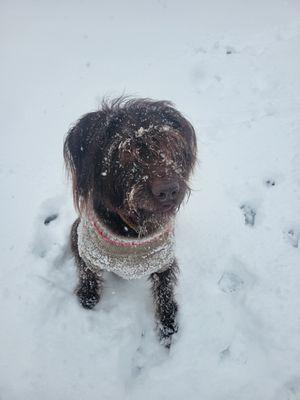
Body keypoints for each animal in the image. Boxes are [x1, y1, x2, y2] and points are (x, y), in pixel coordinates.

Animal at [63, 97, 197, 346]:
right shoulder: (87, 250)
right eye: (125, 153)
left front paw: (167, 324)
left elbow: (164, 290)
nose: (169, 191)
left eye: (169, 144)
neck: (133, 227)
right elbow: (87, 271)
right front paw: (88, 295)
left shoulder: (164, 260)